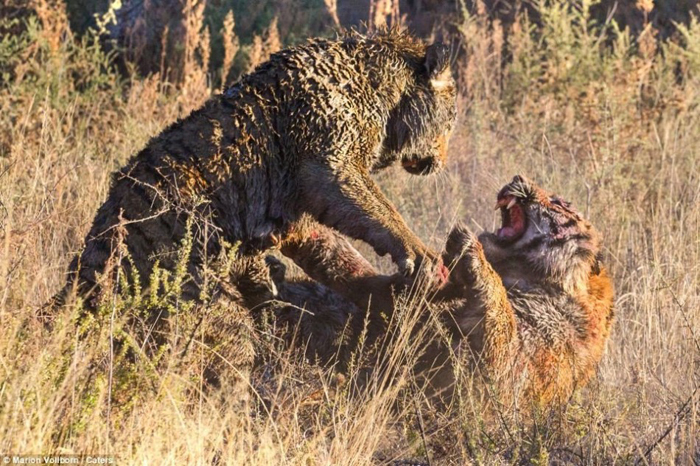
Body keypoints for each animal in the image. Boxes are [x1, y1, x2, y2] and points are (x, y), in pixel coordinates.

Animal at [270, 177, 616, 406]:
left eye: (559, 203)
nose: (519, 178)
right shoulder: (392, 299)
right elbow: (353, 268)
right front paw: (299, 228)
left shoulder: (507, 377)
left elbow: (501, 320)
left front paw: (468, 245)